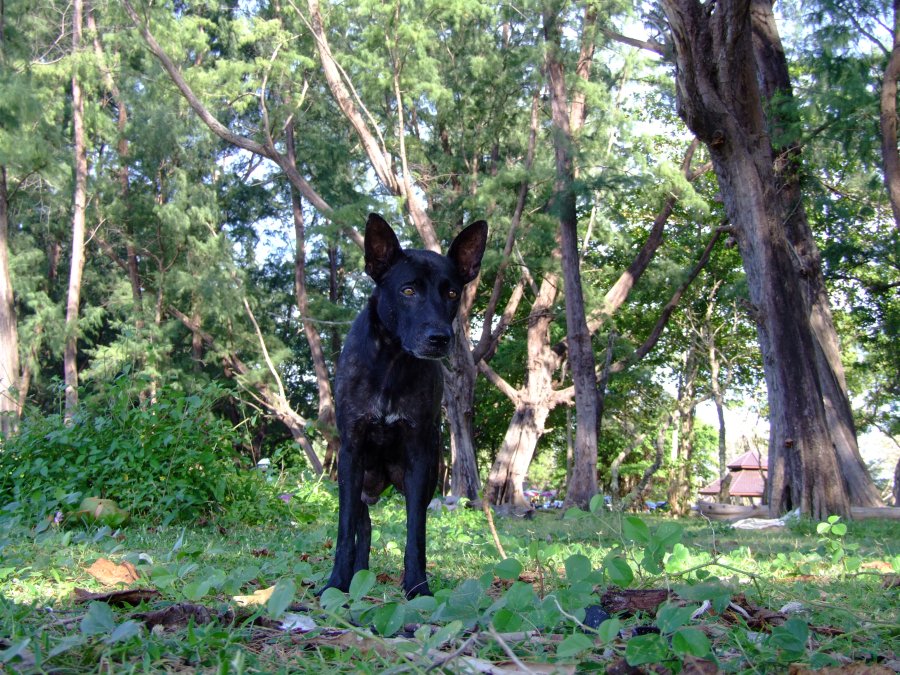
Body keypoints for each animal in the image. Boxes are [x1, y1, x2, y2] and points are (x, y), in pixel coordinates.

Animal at [324, 214, 488, 600]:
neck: (391, 363)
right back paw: (357, 575)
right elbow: (344, 532)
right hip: (357, 482)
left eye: (452, 293)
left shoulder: (419, 460)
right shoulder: (350, 453)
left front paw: (417, 587)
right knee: (363, 526)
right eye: (408, 291)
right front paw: (335, 584)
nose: (440, 338)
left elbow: (416, 532)